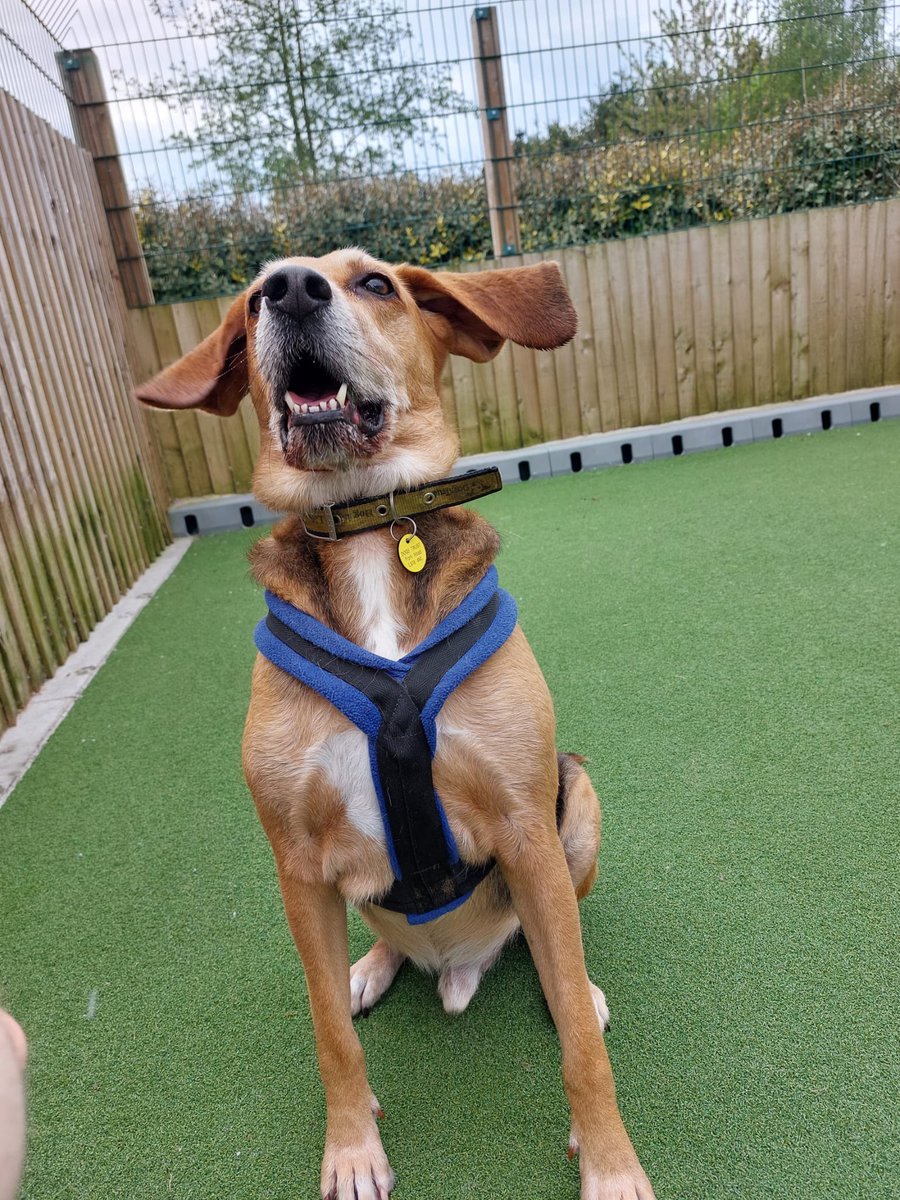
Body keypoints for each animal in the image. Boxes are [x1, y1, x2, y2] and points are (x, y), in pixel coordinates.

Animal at [133, 250, 657, 1200]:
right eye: (254, 297)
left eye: (377, 284)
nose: (290, 289)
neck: (371, 532)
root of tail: (459, 967)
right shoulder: (297, 865)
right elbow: (329, 1039)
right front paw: (349, 1150)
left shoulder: (527, 827)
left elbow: (579, 1047)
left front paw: (609, 1164)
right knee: (377, 946)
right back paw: (369, 970)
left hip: (579, 801)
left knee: (556, 947)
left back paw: (569, 982)